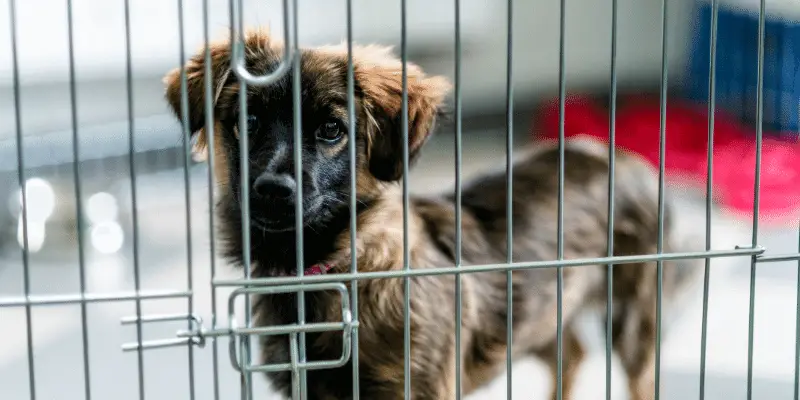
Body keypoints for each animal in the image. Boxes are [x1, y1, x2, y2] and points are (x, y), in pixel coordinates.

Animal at [166, 28, 704, 400]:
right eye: (248, 122)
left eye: (331, 129)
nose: (273, 192)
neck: (327, 273)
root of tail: (624, 158)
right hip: (542, 308)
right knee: (571, 354)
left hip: (632, 319)